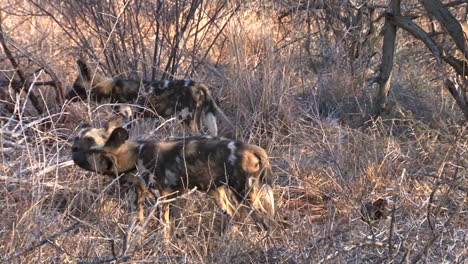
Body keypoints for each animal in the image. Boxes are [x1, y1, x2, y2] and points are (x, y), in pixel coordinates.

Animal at [66, 59, 232, 136]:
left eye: (75, 87)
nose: (66, 96)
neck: (109, 88)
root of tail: (197, 84)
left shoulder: (129, 119)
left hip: (186, 119)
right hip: (195, 119)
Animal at [72, 119, 276, 237]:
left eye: (90, 144)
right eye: (76, 139)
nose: (73, 150)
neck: (134, 154)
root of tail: (252, 148)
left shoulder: (162, 196)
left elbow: (164, 226)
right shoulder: (141, 197)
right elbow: (139, 225)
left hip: (245, 193)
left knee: (264, 221)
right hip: (217, 192)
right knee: (234, 216)